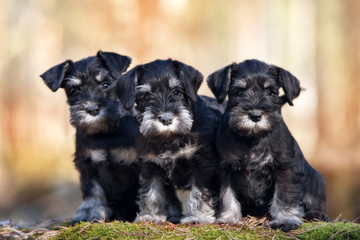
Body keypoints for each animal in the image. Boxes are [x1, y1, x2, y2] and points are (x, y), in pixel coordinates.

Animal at [40, 50, 139, 223]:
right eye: (75, 91)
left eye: (106, 84)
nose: (92, 109)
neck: (106, 133)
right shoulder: (87, 163)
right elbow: (92, 189)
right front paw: (90, 212)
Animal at [115, 59, 224, 224]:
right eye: (145, 95)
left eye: (176, 91)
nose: (166, 119)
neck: (170, 137)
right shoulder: (150, 165)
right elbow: (151, 191)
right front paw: (151, 216)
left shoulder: (202, 164)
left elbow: (199, 193)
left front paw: (196, 217)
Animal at [205, 59, 330, 231]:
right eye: (239, 91)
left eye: (270, 92)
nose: (255, 115)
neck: (252, 138)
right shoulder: (225, 169)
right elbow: (227, 196)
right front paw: (228, 218)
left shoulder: (285, 167)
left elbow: (285, 196)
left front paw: (286, 220)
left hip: (316, 182)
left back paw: (317, 214)